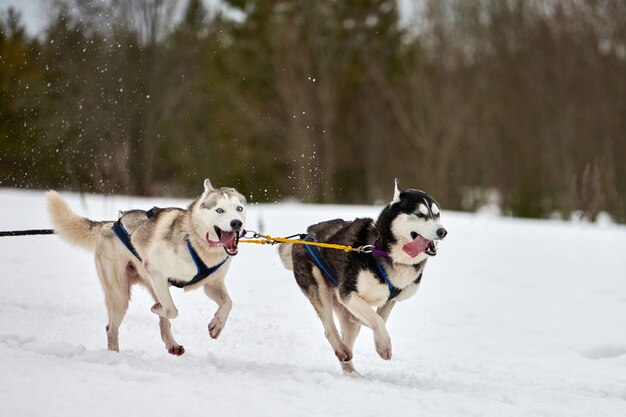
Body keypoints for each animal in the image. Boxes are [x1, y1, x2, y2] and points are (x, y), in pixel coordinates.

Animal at [45, 179, 246, 354]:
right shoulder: (157, 272)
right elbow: (172, 310)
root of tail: (109, 224)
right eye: (219, 210)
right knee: (111, 328)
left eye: (239, 208)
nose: (237, 223)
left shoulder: (211, 284)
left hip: (154, 286)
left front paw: (217, 324)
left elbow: (228, 303)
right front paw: (157, 308)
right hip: (121, 296)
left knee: (163, 323)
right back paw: (114, 353)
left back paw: (172, 344)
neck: (197, 242)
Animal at [278, 177, 444, 372]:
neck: (384, 250)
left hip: (342, 306)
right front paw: (384, 345)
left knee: (349, 333)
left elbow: (380, 319)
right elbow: (376, 320)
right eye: (419, 214)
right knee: (329, 328)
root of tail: (303, 236)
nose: (442, 231)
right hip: (319, 287)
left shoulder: (388, 300)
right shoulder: (347, 293)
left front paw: (377, 337)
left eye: (437, 214)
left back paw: (353, 372)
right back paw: (341, 350)